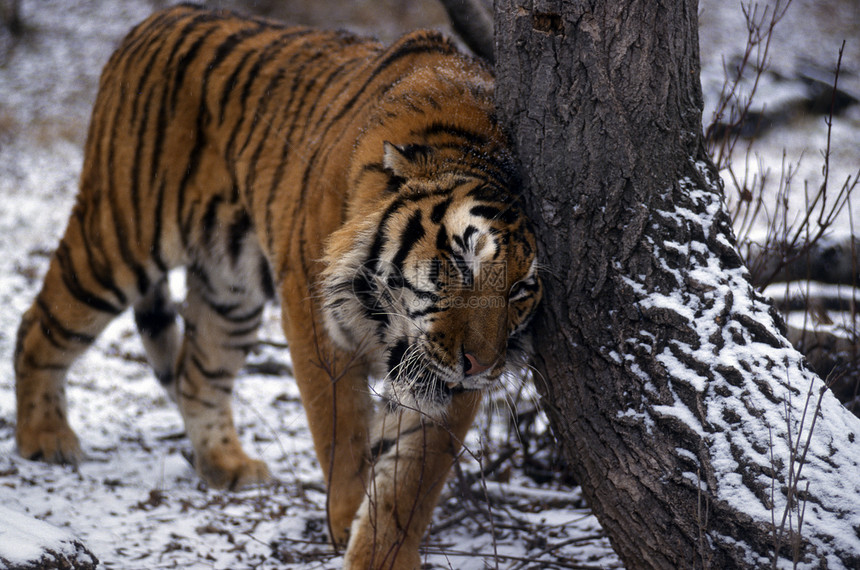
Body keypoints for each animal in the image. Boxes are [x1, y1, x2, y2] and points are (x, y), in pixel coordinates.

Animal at [13, 3, 540, 564]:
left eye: (519, 291)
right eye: (460, 263)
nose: (480, 366)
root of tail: (155, 20)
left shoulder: (445, 386)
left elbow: (412, 479)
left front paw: (382, 554)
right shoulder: (314, 318)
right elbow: (341, 432)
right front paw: (344, 518)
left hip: (230, 290)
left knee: (197, 372)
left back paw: (227, 465)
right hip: (118, 235)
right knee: (38, 324)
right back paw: (44, 438)